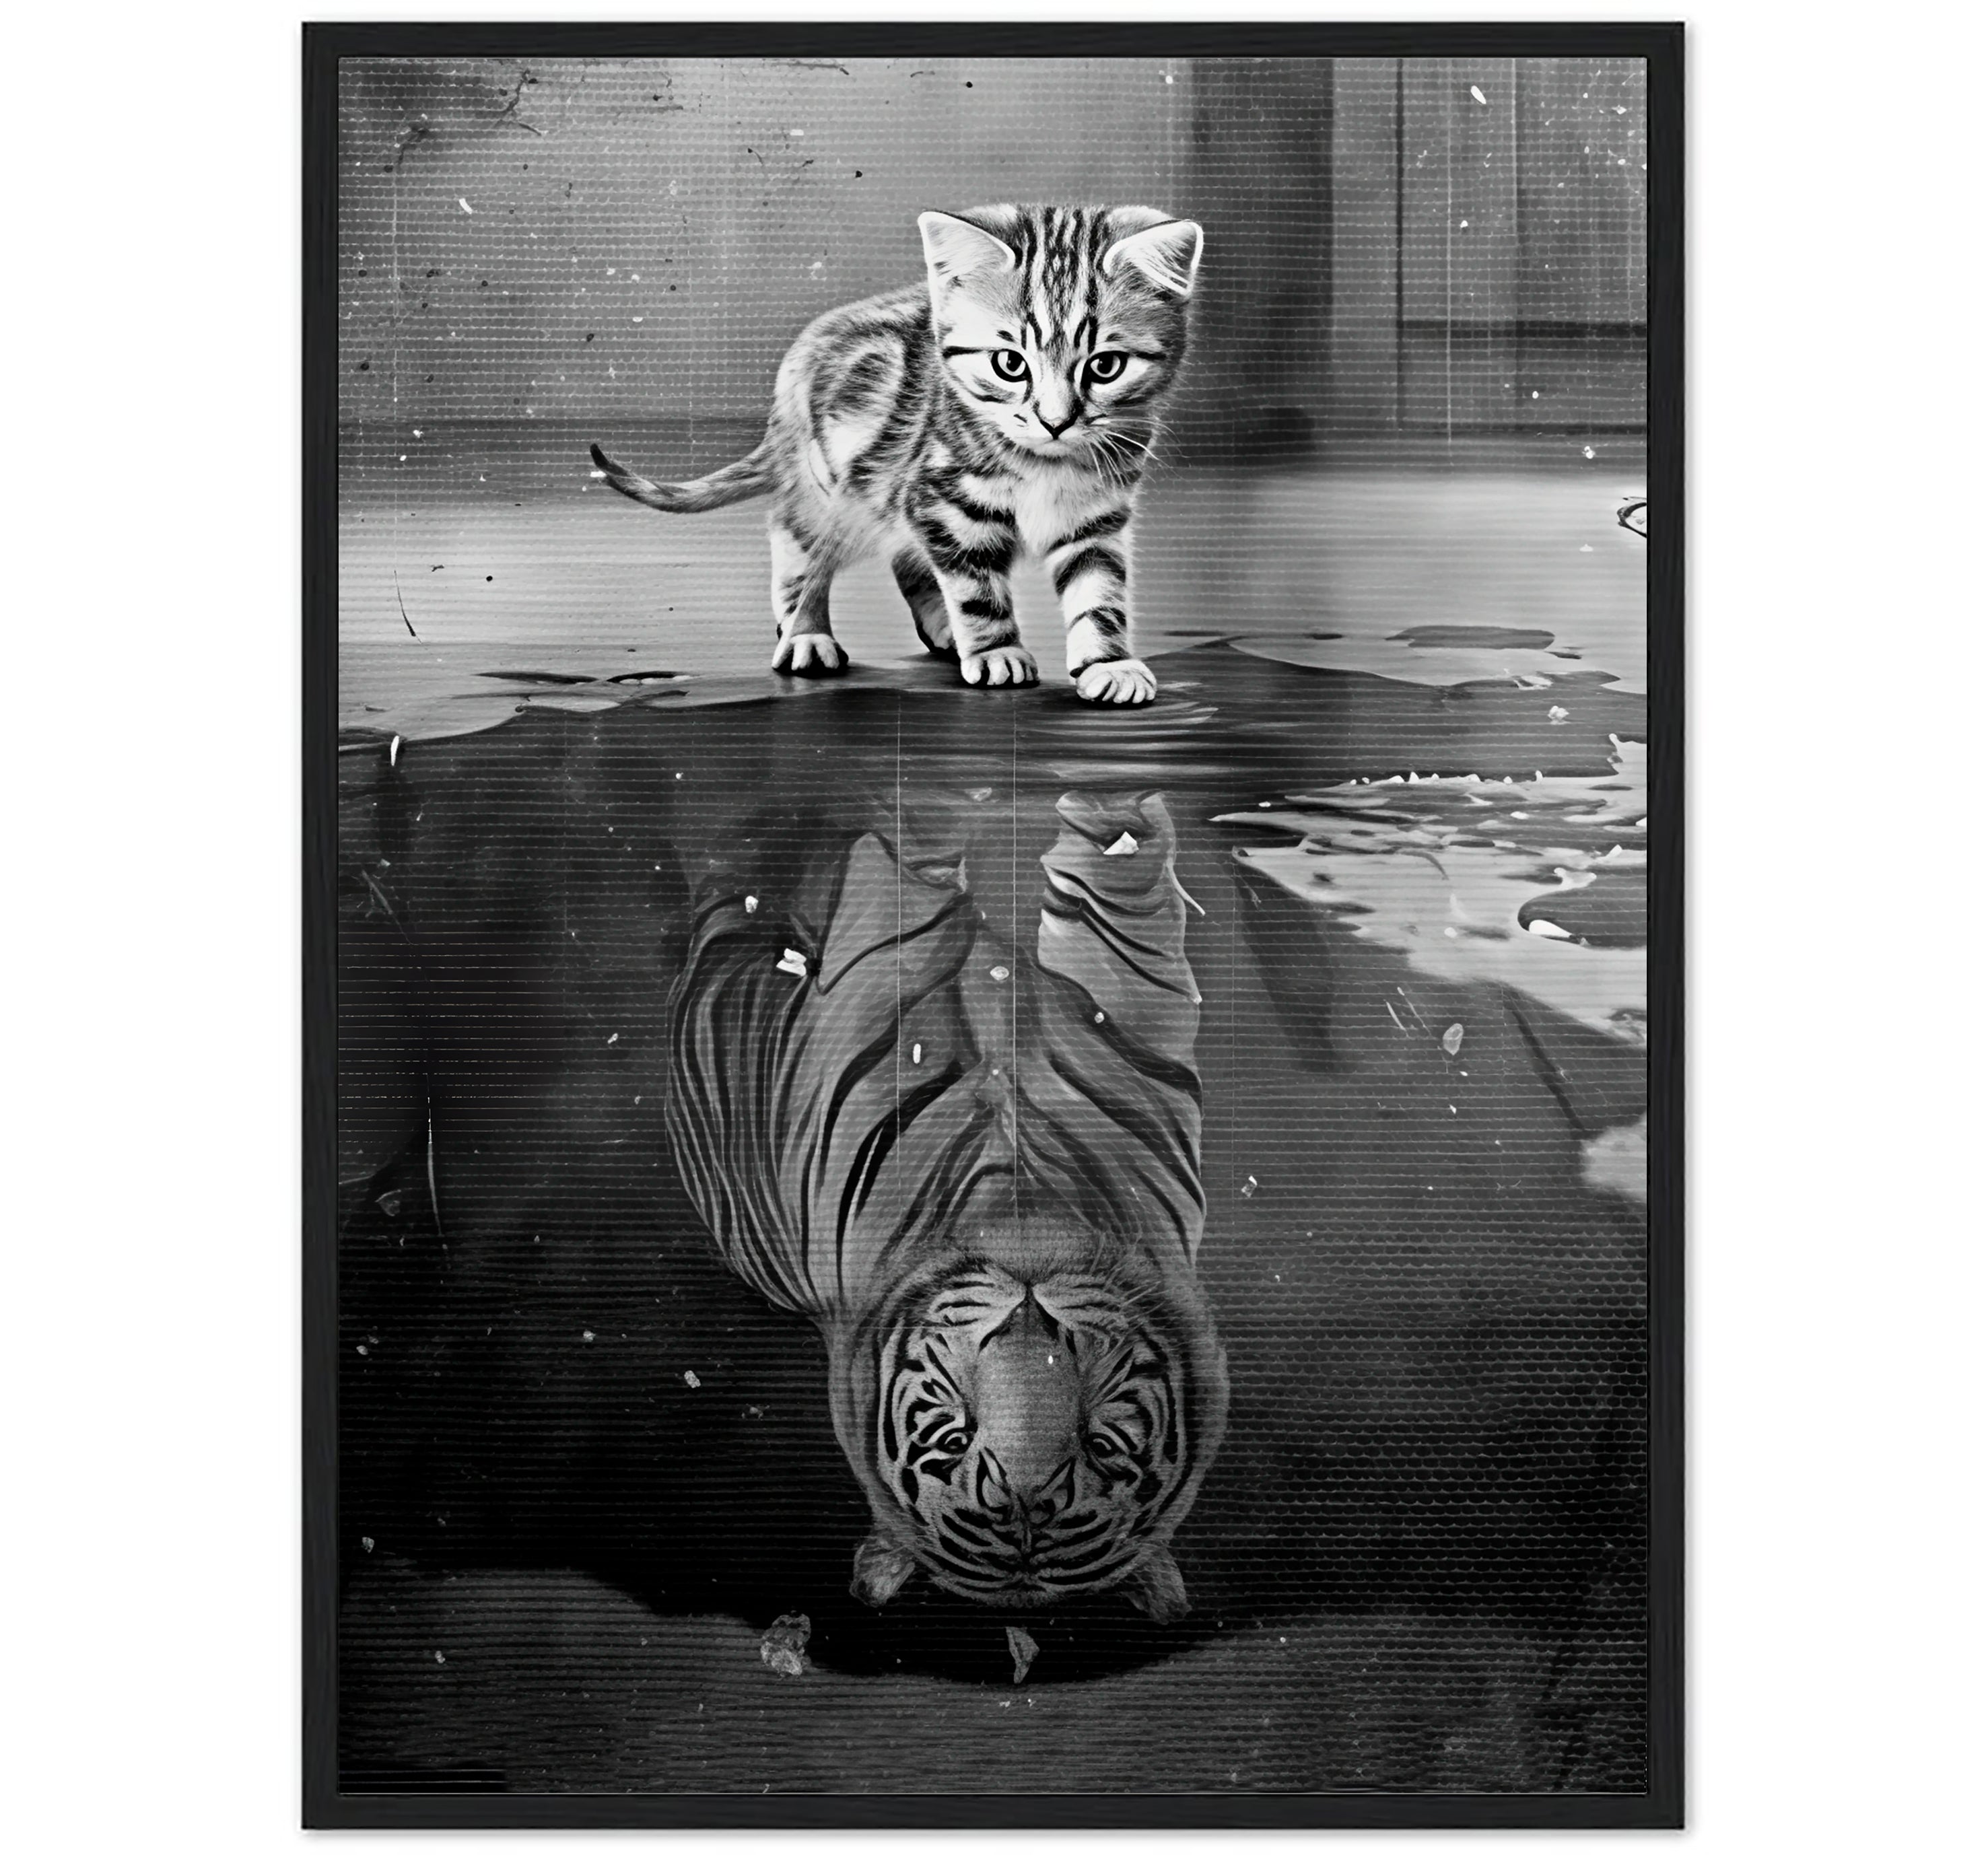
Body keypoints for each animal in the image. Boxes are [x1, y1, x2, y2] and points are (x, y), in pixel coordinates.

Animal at [591, 203, 1205, 707]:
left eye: (1104, 366)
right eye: (1010, 364)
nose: (1055, 422)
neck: (1045, 464)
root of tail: (796, 364)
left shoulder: (1094, 516)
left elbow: (1098, 592)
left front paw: (1109, 662)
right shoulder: (941, 496)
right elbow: (976, 588)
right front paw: (995, 650)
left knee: (906, 558)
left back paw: (939, 627)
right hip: (837, 490)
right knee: (795, 539)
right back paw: (806, 633)